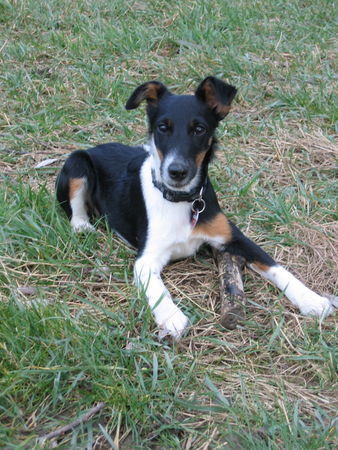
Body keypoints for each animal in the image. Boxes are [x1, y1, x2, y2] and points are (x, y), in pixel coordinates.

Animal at [56, 77, 336, 340]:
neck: (181, 200)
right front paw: (171, 316)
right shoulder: (146, 258)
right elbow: (157, 288)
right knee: (75, 208)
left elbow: (278, 268)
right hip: (77, 161)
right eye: (163, 127)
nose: (177, 171)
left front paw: (312, 300)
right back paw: (83, 227)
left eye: (199, 129)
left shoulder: (234, 237)